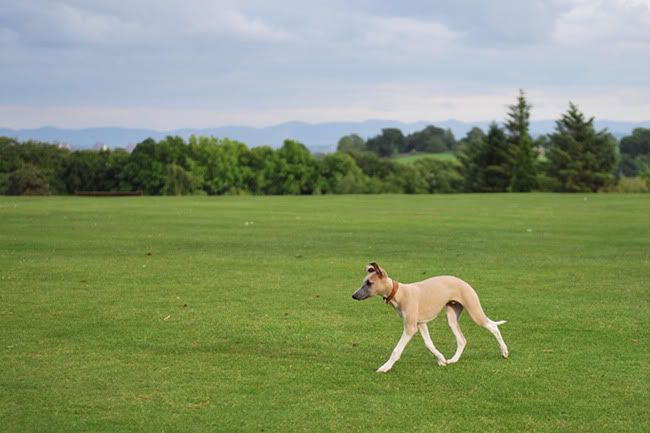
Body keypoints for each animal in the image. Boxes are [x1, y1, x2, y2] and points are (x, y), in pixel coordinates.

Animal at [350, 262, 506, 372]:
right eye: (363, 282)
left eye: (369, 283)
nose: (354, 296)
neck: (399, 293)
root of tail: (464, 282)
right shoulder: (420, 323)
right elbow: (428, 344)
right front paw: (441, 359)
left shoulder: (410, 327)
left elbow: (397, 349)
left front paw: (385, 367)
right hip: (451, 317)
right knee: (462, 339)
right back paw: (453, 360)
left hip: (474, 311)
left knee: (493, 326)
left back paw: (504, 351)